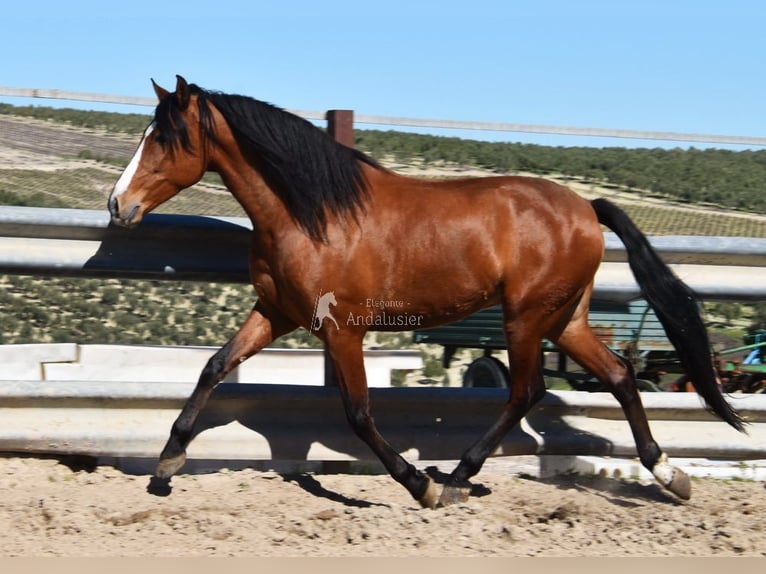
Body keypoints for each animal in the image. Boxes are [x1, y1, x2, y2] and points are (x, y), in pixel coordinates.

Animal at [108, 75, 745, 508]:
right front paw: (166, 465)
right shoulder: (275, 312)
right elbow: (214, 367)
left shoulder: (343, 330)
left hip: (526, 317)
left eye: (165, 138)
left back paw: (457, 478)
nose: (118, 205)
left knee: (527, 391)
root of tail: (585, 207)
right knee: (617, 375)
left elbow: (358, 412)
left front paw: (419, 486)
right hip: (565, 319)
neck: (311, 215)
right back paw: (671, 476)